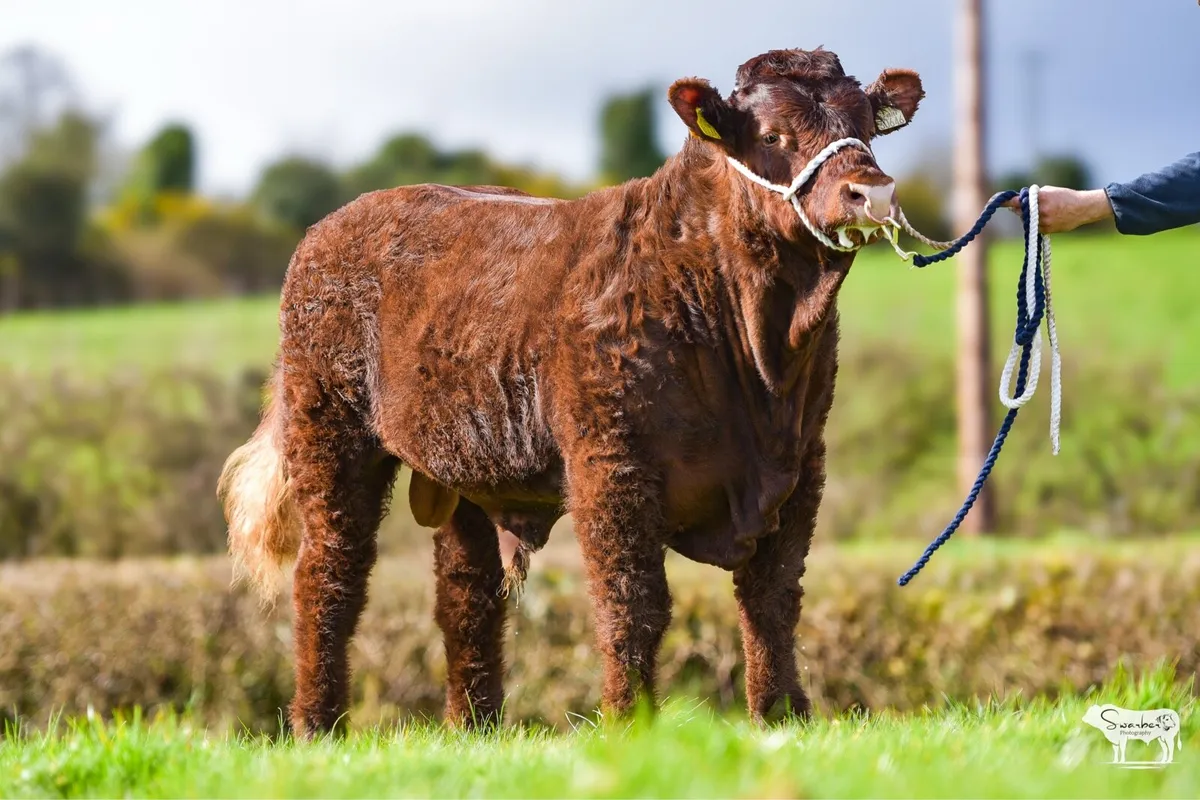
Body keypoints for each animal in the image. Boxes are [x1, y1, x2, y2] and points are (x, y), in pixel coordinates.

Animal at [218, 47, 926, 736]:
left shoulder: (802, 464)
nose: (871, 191)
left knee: (465, 594)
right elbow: (633, 601)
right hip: (329, 431)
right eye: (774, 134)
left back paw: (474, 727)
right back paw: (317, 726)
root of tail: (332, 227)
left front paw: (782, 717)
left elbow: (773, 599)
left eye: (866, 127)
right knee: (330, 573)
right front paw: (629, 722)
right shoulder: (610, 462)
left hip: (464, 466)